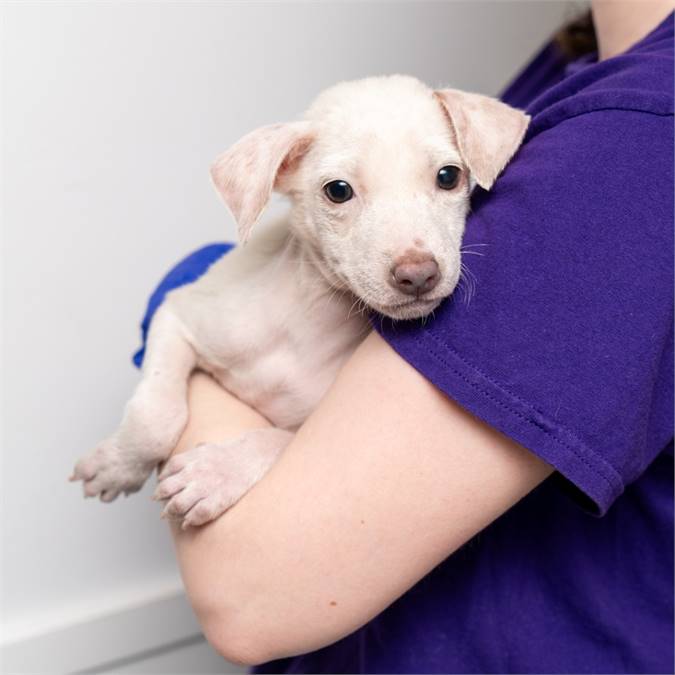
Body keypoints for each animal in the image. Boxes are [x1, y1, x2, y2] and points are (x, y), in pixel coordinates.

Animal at [71, 75, 532, 528]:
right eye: (338, 190)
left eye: (449, 176)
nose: (417, 274)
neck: (308, 319)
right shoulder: (178, 314)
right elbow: (155, 415)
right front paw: (118, 465)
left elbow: (280, 440)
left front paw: (214, 473)